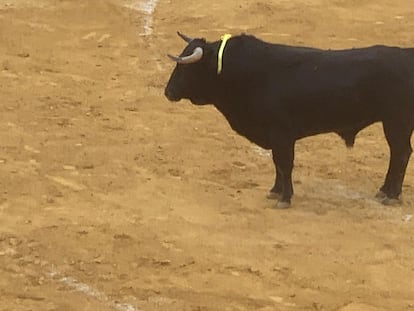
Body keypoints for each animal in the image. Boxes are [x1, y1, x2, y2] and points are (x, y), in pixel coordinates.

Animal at [163, 32, 412, 210]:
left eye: (185, 67)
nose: (168, 92)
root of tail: (407, 56)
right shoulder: (275, 135)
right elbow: (277, 164)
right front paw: (275, 190)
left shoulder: (281, 133)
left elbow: (284, 163)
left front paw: (284, 198)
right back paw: (384, 191)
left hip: (396, 122)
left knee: (400, 153)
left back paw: (391, 195)